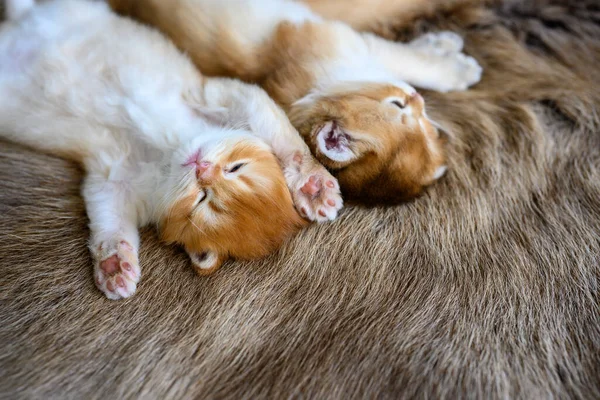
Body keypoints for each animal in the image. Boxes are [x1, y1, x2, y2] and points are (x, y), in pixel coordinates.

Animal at [0, 0, 342, 300]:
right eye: (236, 167)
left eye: (202, 200)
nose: (201, 168)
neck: (168, 152)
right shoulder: (223, 93)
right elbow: (283, 138)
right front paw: (313, 184)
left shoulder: (114, 179)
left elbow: (110, 220)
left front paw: (114, 265)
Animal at [108, 0, 482, 205]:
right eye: (399, 106)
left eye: (425, 123)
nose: (418, 100)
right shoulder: (353, 42)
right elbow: (408, 60)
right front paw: (456, 65)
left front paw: (439, 43)